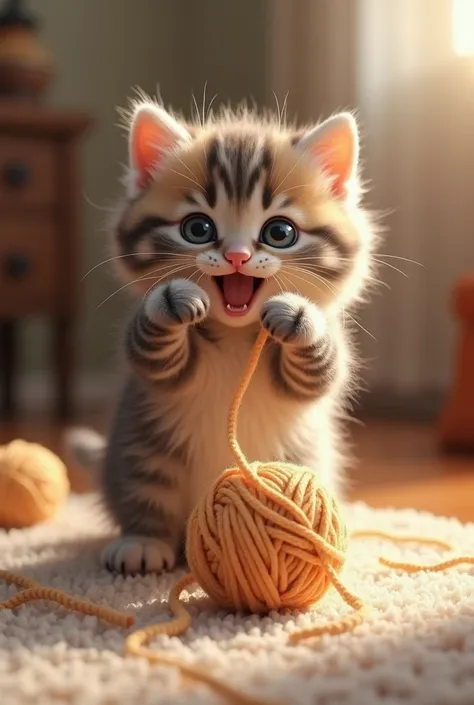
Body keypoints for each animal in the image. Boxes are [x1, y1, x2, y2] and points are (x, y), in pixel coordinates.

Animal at [67, 96, 378, 576]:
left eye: (279, 232)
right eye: (198, 228)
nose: (237, 256)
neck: (235, 335)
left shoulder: (315, 373)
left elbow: (318, 372)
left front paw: (298, 316)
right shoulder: (154, 369)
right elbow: (151, 349)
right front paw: (171, 300)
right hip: (143, 449)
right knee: (145, 494)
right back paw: (142, 542)